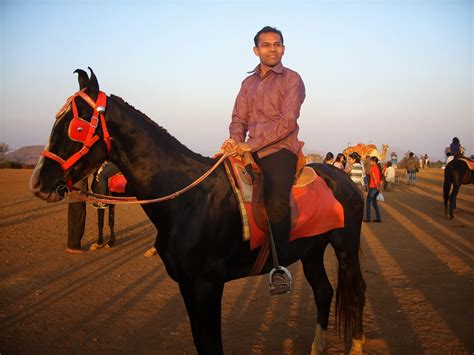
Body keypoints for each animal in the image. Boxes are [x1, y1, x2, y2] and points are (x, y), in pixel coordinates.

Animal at [29, 68, 366, 354]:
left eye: (77, 126)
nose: (38, 181)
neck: (188, 199)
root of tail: (344, 181)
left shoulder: (207, 285)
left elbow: (211, 343)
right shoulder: (187, 285)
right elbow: (200, 341)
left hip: (345, 247)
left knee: (357, 291)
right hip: (311, 250)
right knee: (323, 292)